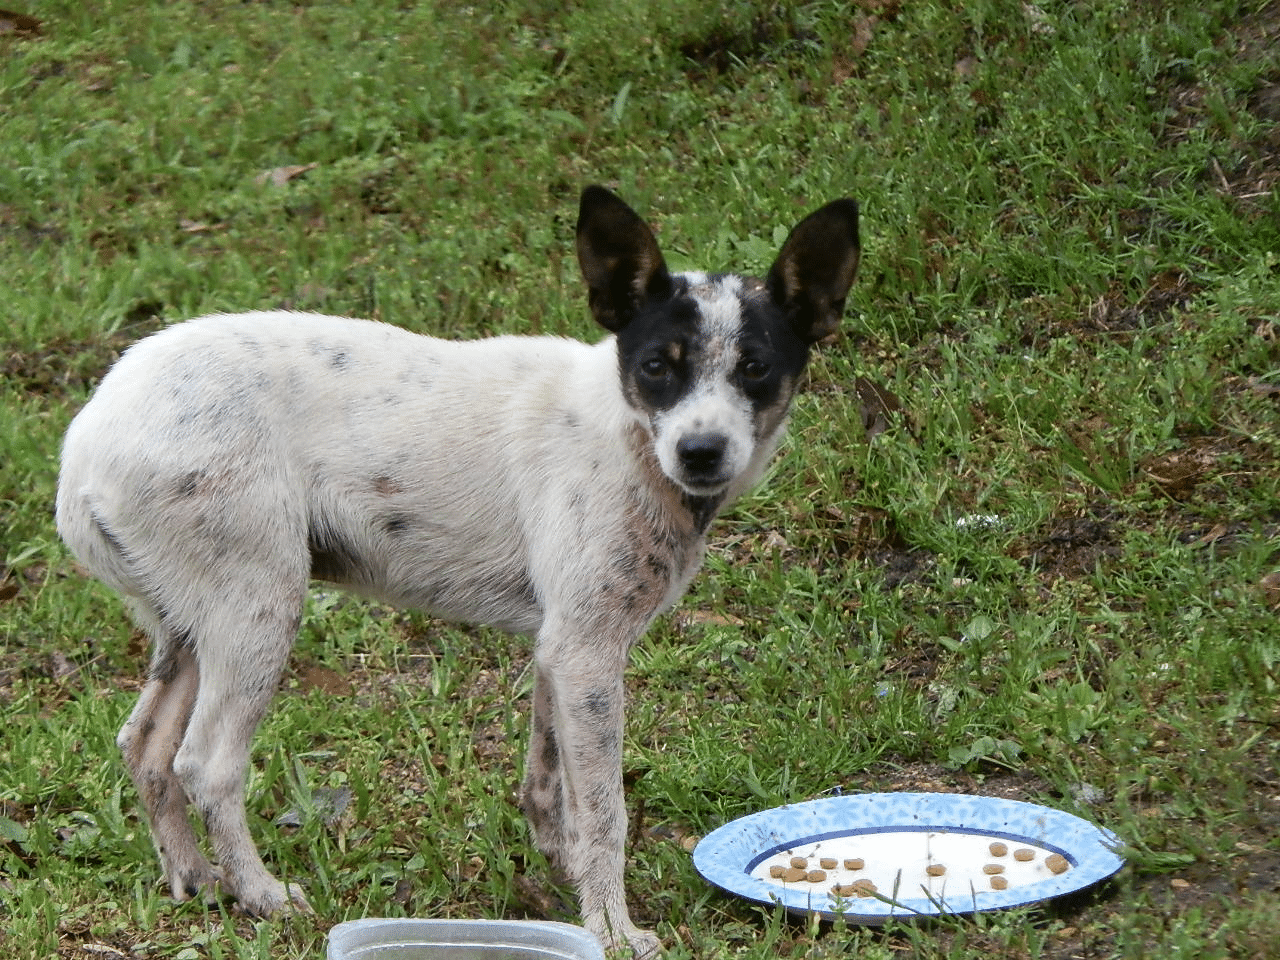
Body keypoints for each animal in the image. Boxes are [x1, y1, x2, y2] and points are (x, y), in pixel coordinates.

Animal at [52, 185, 860, 957]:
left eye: (756, 369)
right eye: (658, 366)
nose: (701, 452)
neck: (625, 433)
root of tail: (88, 438)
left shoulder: (561, 650)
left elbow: (548, 787)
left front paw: (559, 875)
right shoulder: (590, 654)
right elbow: (604, 813)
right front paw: (612, 928)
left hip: (191, 625)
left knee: (145, 747)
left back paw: (193, 878)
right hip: (258, 610)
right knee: (205, 765)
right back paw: (261, 893)